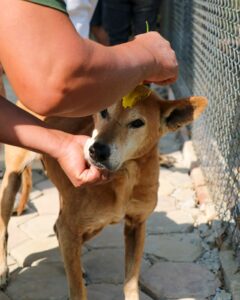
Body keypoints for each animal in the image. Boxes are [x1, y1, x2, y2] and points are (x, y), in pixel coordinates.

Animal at [0, 85, 206, 298]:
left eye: (137, 123)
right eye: (104, 111)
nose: (97, 150)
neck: (125, 176)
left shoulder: (136, 225)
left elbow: (131, 281)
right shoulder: (71, 228)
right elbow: (77, 291)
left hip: (91, 223)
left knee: (58, 228)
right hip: (12, 180)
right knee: (5, 229)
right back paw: (3, 271)